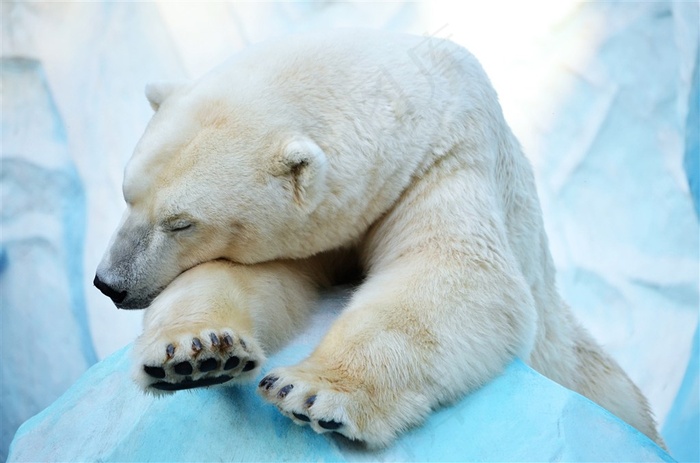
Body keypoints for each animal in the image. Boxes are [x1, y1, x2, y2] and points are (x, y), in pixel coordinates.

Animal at [95, 29, 664, 450]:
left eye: (181, 222)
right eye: (128, 195)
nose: (109, 284)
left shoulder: (447, 160)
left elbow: (453, 275)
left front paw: (310, 392)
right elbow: (249, 276)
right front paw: (197, 354)